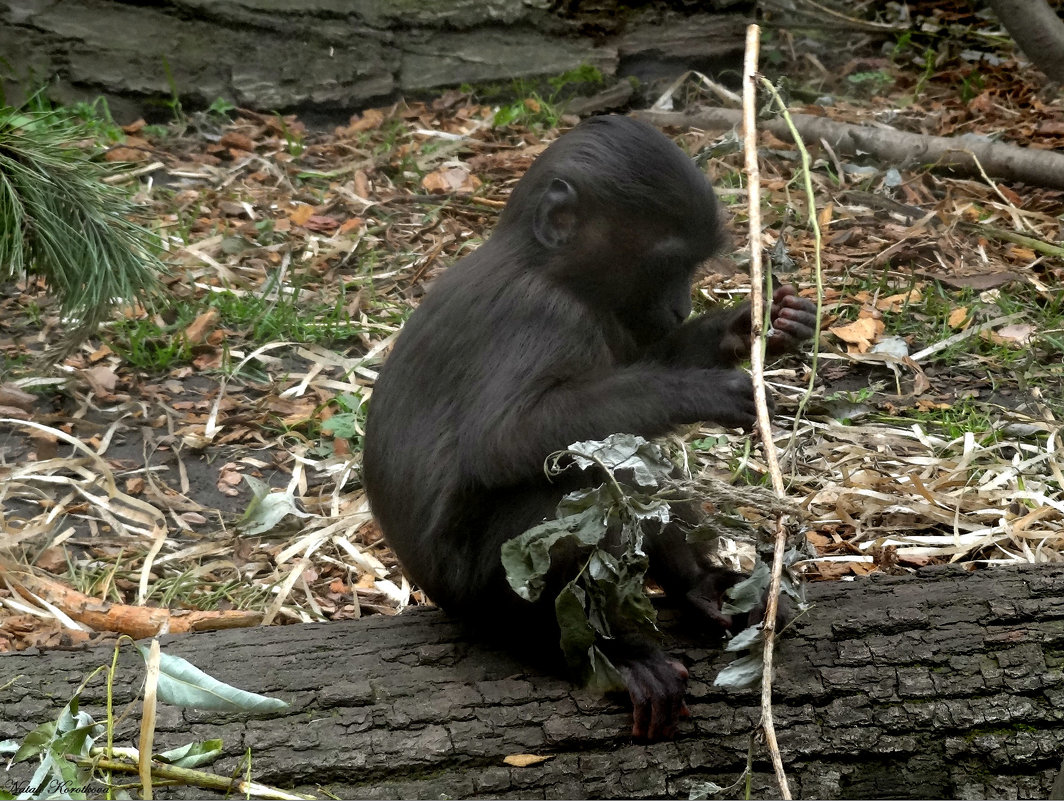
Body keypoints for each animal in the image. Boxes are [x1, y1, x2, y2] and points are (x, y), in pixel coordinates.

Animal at [361, 112, 817, 736]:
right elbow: (501, 440)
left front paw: (754, 324)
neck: (543, 265)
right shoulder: (544, 314)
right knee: (586, 477)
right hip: (479, 590)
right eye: (666, 266)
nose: (679, 307)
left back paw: (698, 587)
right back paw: (587, 649)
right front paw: (709, 390)